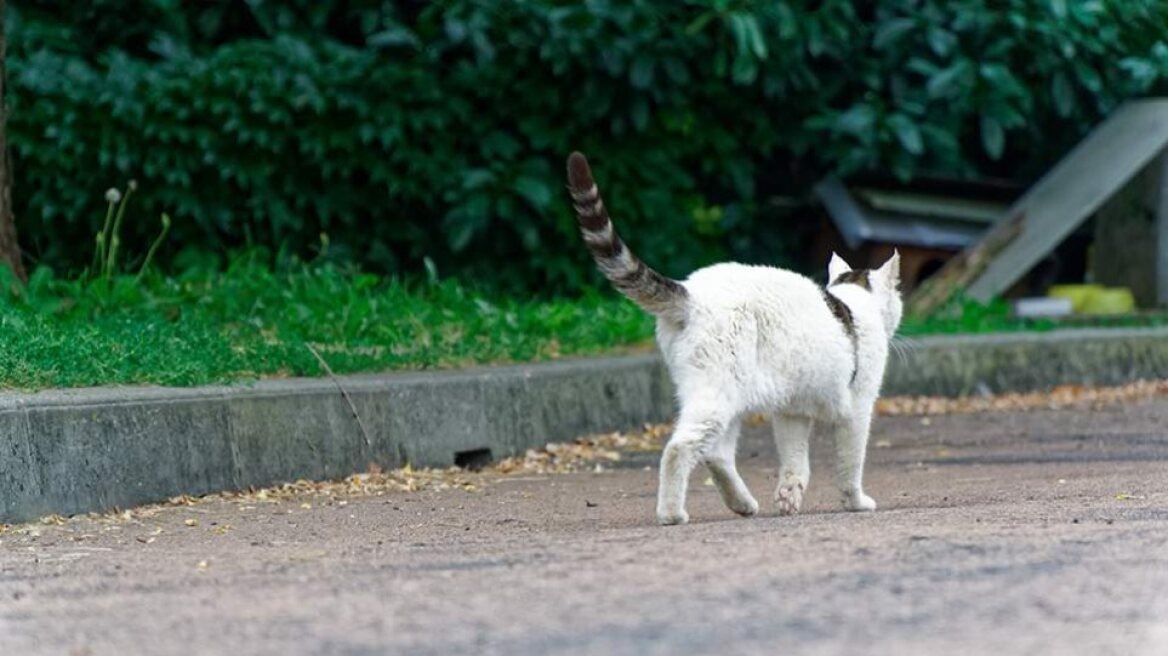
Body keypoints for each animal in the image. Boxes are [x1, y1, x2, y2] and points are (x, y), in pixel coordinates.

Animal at [565, 150, 901, 522]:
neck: (855, 301)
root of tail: (691, 293)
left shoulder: (792, 412)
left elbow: (795, 461)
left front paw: (789, 497)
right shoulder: (858, 408)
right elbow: (850, 464)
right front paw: (856, 502)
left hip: (721, 394)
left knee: (716, 454)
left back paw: (742, 503)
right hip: (721, 392)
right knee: (681, 448)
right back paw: (672, 513)